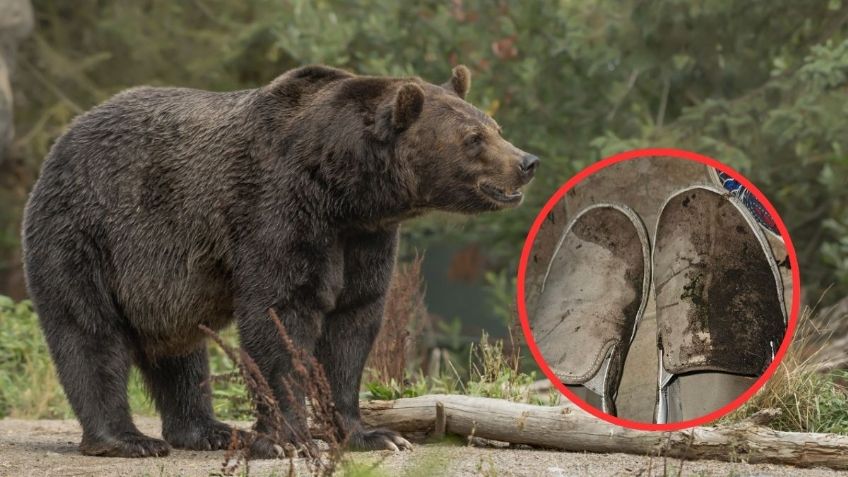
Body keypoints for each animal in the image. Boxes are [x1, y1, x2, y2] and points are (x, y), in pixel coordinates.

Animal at [21, 64, 539, 458]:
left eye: (495, 127)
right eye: (473, 138)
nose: (526, 162)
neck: (343, 189)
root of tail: (61, 141)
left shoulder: (364, 239)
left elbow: (353, 325)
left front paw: (373, 434)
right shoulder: (278, 211)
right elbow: (280, 317)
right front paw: (288, 438)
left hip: (161, 284)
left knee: (181, 352)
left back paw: (209, 430)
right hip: (87, 234)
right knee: (89, 333)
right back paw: (127, 440)